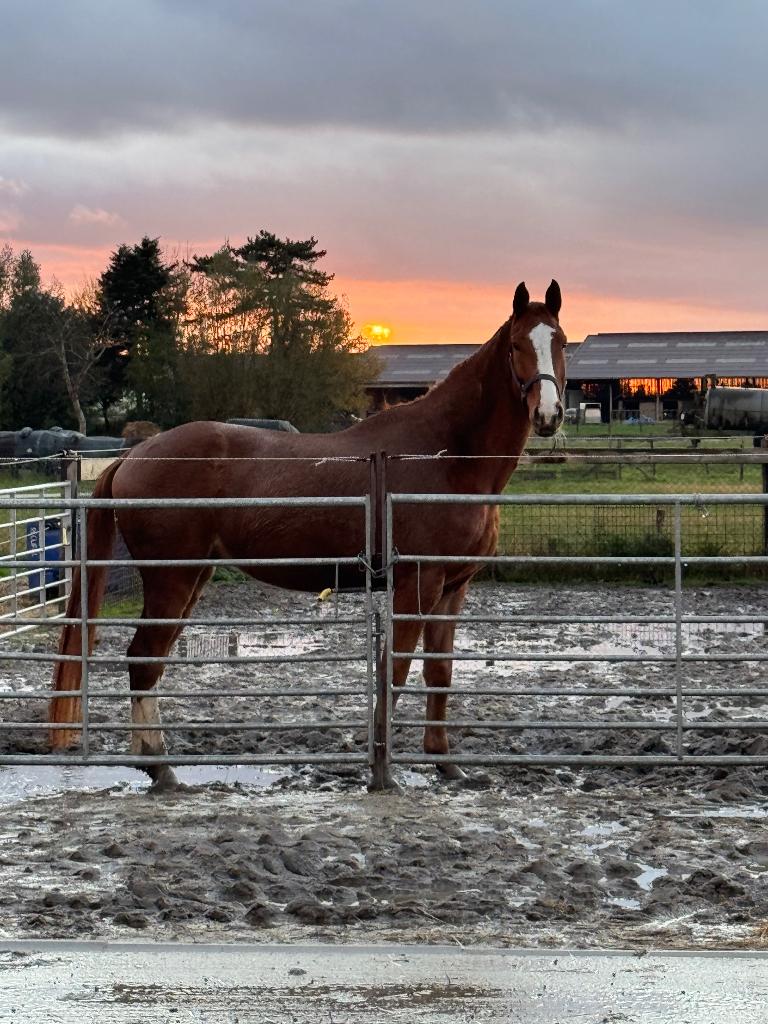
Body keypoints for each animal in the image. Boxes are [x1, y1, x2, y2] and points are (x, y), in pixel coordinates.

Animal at [49, 280, 567, 788]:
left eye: (559, 342)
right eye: (518, 345)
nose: (549, 415)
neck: (445, 455)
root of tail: (134, 455)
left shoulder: (452, 587)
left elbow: (438, 671)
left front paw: (445, 761)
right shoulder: (417, 583)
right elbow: (395, 669)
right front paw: (382, 769)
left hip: (193, 578)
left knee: (149, 659)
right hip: (171, 578)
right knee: (144, 657)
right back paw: (159, 767)